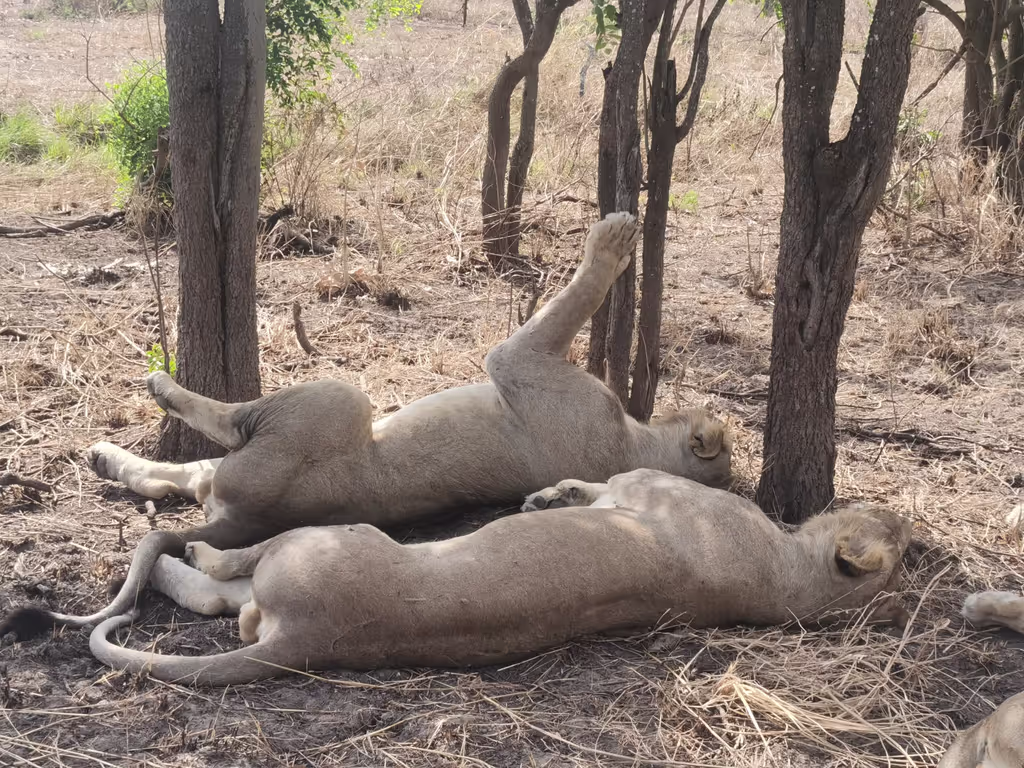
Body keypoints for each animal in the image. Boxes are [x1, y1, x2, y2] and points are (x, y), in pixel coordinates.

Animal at [1, 213, 733, 641]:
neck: (636, 438)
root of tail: (239, 516)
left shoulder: (516, 360)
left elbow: (577, 293)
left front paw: (615, 237)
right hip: (281, 447)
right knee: (180, 478)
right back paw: (104, 456)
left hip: (334, 399)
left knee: (220, 433)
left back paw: (159, 386)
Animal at [87, 468, 913, 686]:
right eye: (898, 530)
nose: (902, 512)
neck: (788, 577)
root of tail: (309, 639)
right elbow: (584, 486)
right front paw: (547, 497)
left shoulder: (641, 488)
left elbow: (604, 482)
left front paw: (555, 495)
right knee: (222, 600)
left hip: (330, 539)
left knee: (222, 577)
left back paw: (182, 555)